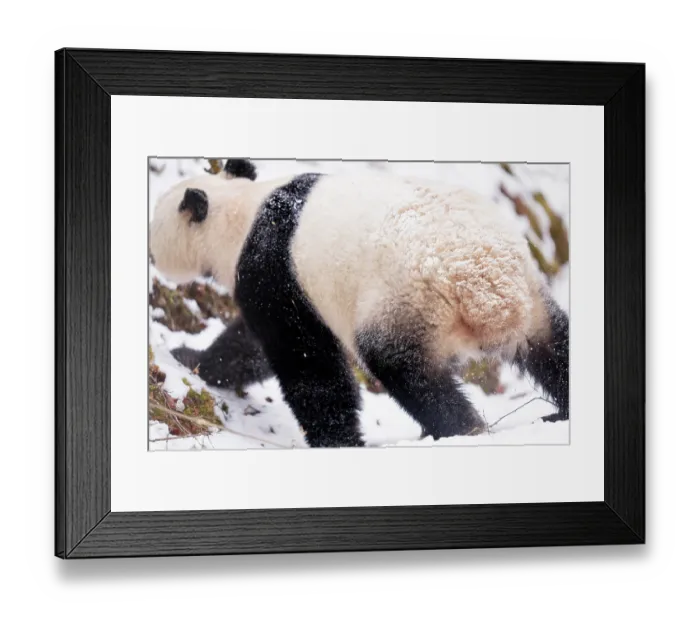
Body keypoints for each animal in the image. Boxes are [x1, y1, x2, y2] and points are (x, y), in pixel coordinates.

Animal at [150, 159, 569, 448]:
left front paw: (336, 441)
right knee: (555, 349)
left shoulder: (273, 272)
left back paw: (460, 429)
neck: (240, 212)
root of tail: (487, 290)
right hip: (531, 292)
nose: (150, 255)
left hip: (404, 299)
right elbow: (250, 348)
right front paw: (192, 359)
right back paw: (560, 413)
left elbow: (302, 361)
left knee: (407, 372)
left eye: (153, 224)